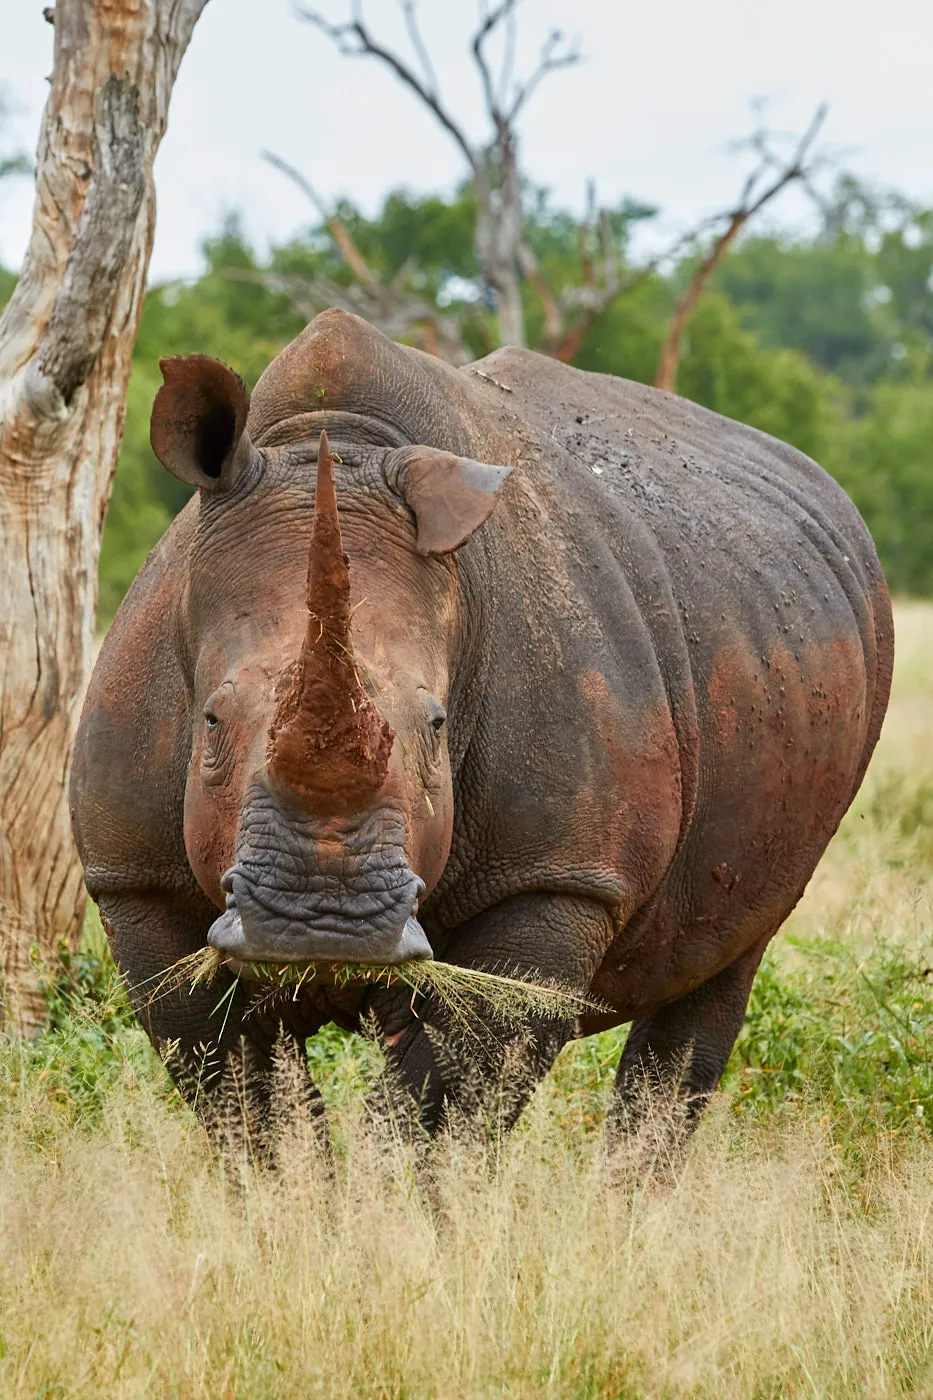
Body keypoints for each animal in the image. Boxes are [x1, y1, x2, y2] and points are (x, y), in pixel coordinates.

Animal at [70, 309, 893, 1141]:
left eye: (436, 726)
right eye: (209, 719)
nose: (321, 923)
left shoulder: (553, 878)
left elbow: (444, 1099)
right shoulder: (137, 881)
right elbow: (246, 1101)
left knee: (725, 965)